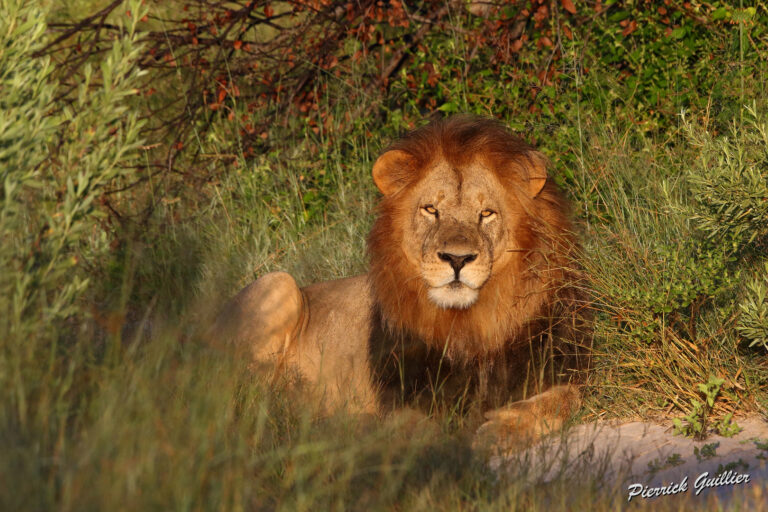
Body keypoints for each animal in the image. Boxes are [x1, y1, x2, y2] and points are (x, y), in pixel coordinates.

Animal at [211, 115, 591, 451]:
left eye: (486, 213)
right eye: (430, 210)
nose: (457, 259)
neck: (470, 322)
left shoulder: (556, 369)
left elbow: (565, 398)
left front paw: (500, 431)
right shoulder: (402, 394)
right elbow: (418, 431)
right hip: (279, 282)